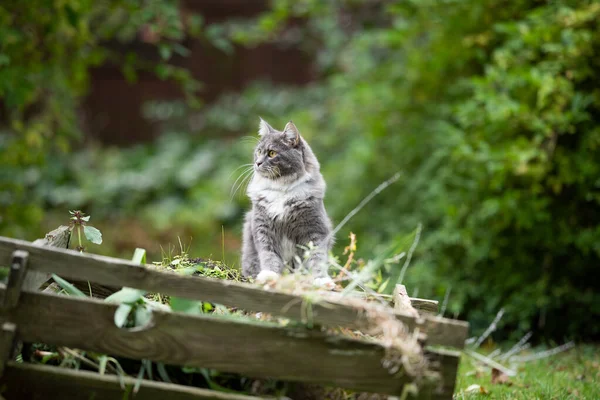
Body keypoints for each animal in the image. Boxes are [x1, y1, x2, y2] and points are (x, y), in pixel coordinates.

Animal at [241, 117, 336, 286]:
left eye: (272, 153)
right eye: (258, 152)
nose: (257, 163)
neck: (281, 189)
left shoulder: (315, 230)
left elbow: (317, 258)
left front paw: (321, 279)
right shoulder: (262, 228)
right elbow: (269, 255)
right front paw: (269, 275)